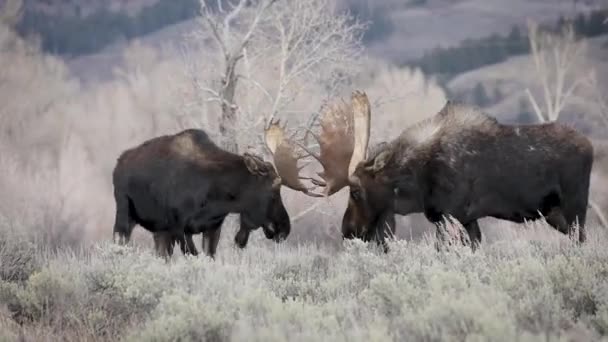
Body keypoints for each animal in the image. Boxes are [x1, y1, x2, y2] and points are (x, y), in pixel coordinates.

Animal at [112, 124, 326, 258]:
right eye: (274, 188)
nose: (284, 228)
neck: (216, 197)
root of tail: (119, 163)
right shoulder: (180, 228)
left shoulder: (213, 227)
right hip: (124, 215)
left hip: (160, 231)